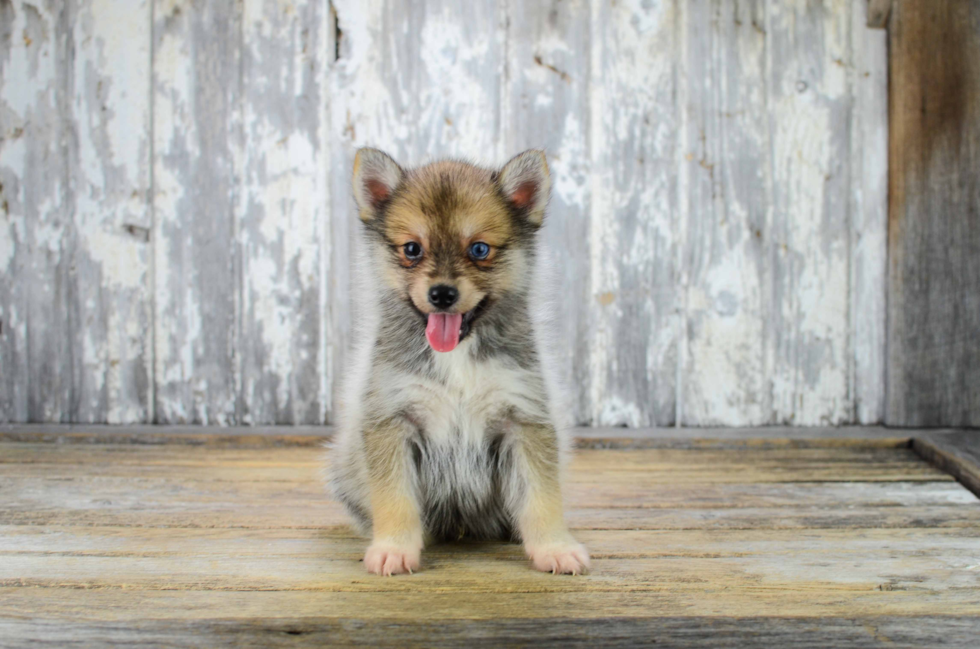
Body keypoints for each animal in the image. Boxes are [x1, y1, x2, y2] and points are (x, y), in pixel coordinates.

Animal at [330, 149, 588, 576]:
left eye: (479, 250)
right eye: (412, 249)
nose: (442, 294)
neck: (456, 357)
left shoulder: (524, 417)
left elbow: (542, 496)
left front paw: (555, 547)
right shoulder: (392, 421)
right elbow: (395, 498)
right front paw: (393, 548)